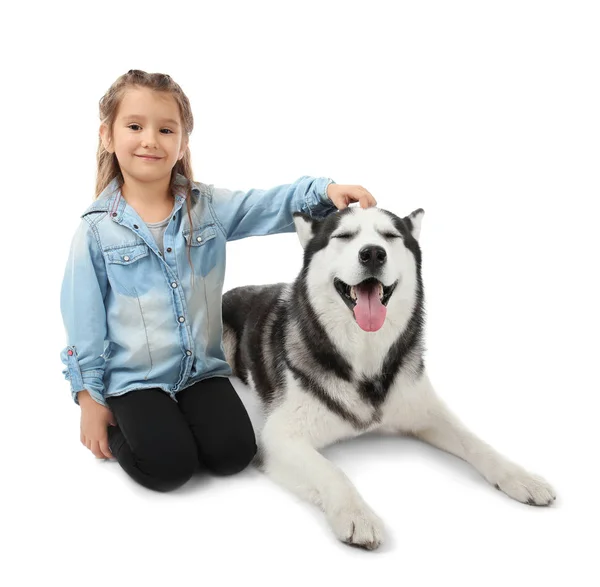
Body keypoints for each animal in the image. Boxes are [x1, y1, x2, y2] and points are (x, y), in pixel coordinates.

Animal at [223, 208, 556, 552]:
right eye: (344, 236)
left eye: (391, 236)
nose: (372, 253)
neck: (365, 356)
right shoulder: (279, 436)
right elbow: (332, 471)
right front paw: (356, 514)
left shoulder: (424, 410)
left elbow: (476, 442)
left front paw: (520, 476)